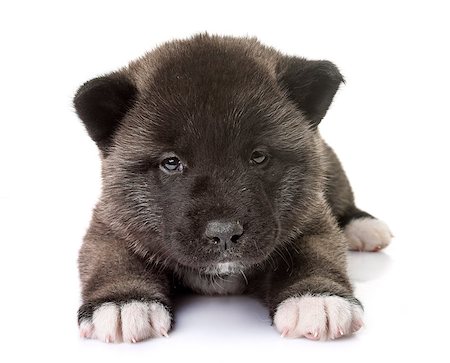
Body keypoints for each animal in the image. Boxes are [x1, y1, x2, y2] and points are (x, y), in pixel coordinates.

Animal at [74, 32, 390, 342]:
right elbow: (114, 260)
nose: (223, 233)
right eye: (171, 162)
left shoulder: (312, 218)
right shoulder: (111, 224)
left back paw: (363, 226)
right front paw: (124, 302)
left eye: (258, 156)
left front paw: (316, 298)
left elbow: (314, 254)